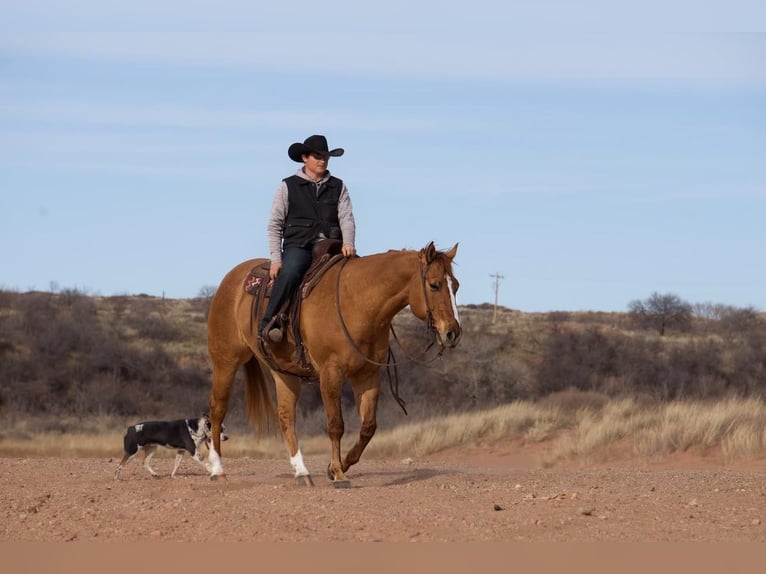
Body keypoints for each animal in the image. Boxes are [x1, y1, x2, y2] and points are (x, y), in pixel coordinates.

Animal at [204, 241, 464, 488]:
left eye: (456, 285)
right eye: (434, 285)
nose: (453, 333)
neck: (357, 302)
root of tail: (232, 278)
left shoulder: (368, 375)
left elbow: (368, 427)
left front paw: (337, 466)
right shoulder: (331, 374)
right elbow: (335, 424)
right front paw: (339, 474)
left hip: (284, 373)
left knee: (286, 417)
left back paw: (302, 473)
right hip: (225, 361)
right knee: (217, 411)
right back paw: (218, 470)